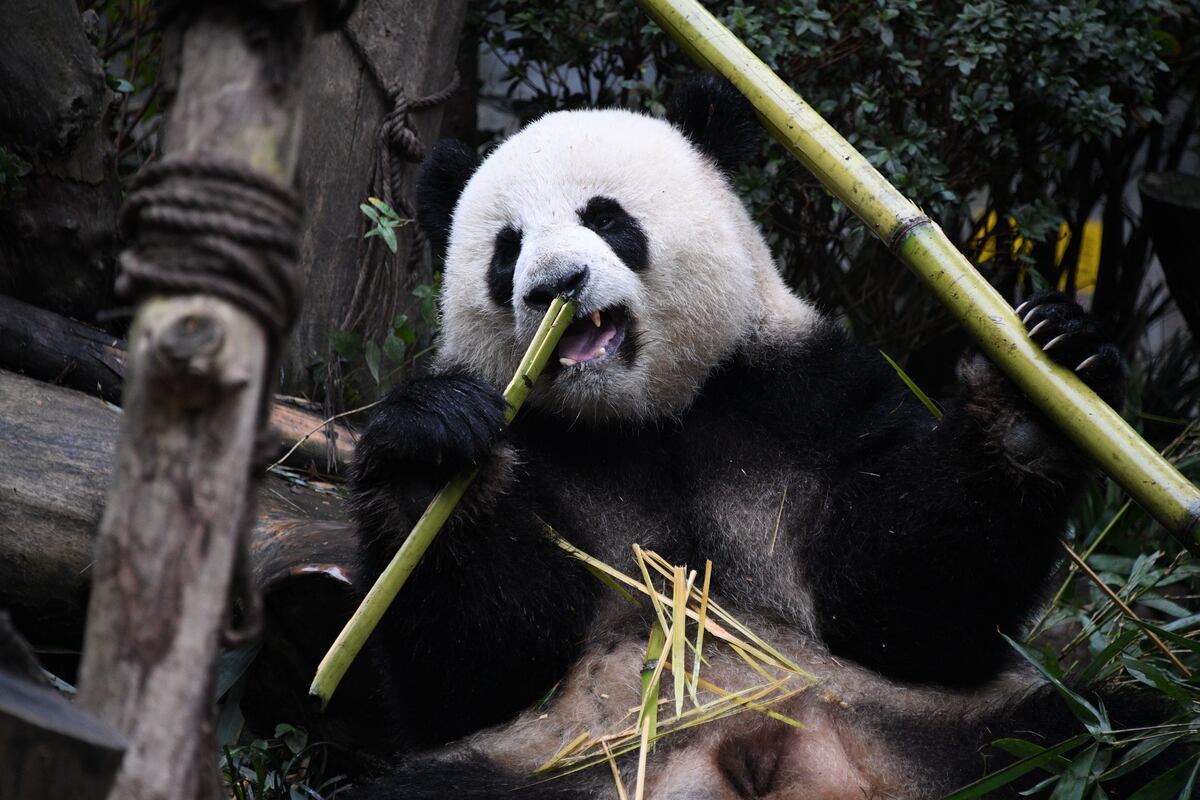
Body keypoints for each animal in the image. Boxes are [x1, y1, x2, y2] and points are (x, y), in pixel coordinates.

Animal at [347, 76, 1133, 798]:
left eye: (607, 218)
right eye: (507, 251)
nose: (553, 285)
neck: (640, 415)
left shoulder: (800, 395)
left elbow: (904, 604)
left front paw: (1032, 400)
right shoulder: (538, 442)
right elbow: (477, 673)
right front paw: (427, 451)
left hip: (939, 729)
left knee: (1088, 734)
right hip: (554, 765)